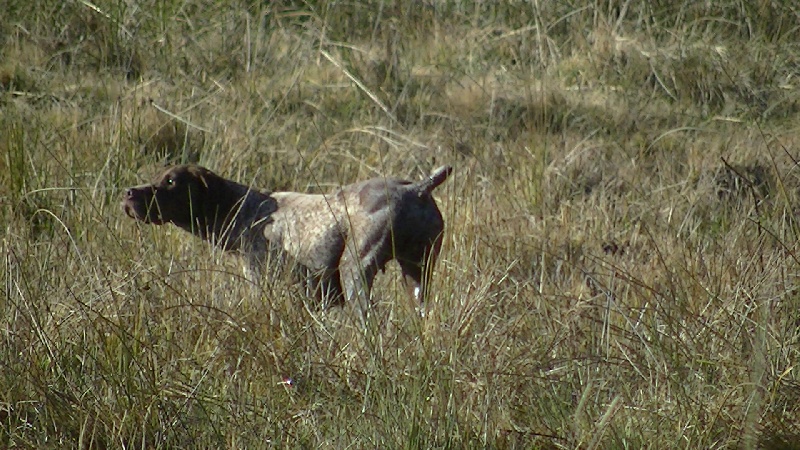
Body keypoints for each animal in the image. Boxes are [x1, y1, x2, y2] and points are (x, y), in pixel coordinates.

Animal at [122, 164, 454, 312]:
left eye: (170, 181)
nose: (128, 193)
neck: (244, 208)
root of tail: (417, 188)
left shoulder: (261, 278)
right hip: (418, 271)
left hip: (355, 271)